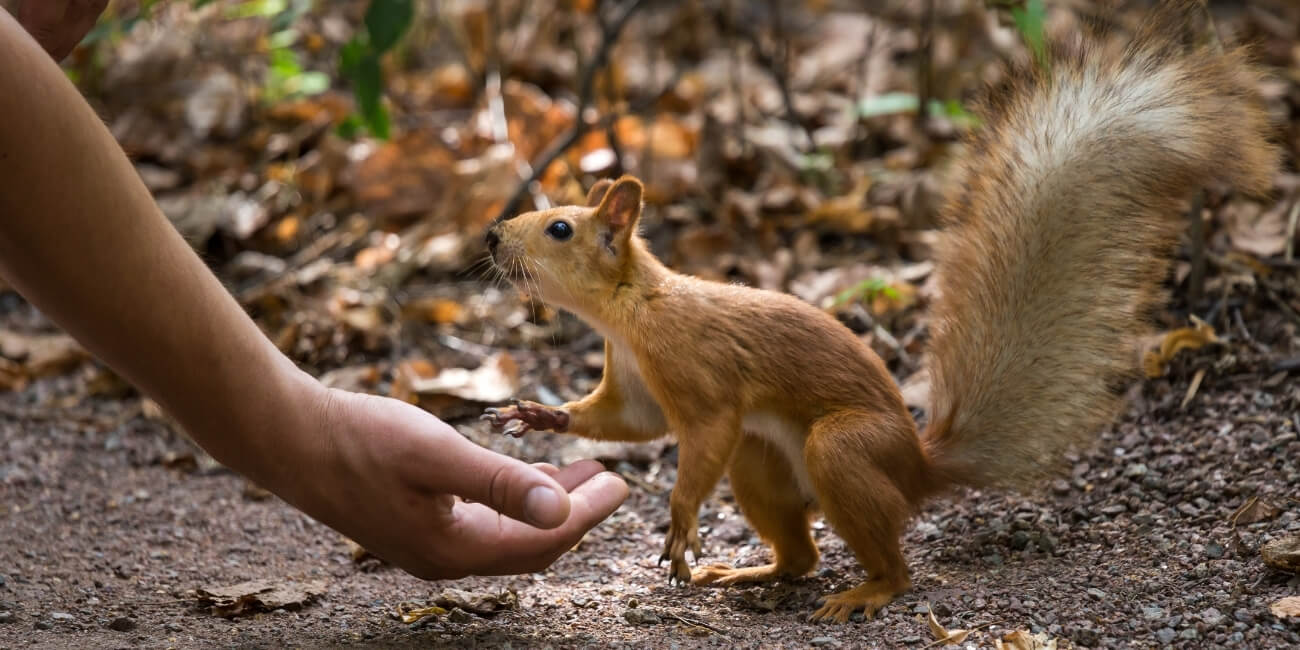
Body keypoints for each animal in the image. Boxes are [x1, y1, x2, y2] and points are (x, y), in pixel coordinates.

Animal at [483, 5, 1274, 624]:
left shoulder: (699, 374)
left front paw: (679, 521)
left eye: (560, 228)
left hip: (840, 449)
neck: (631, 313)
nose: (491, 236)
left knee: (888, 562)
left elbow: (700, 434)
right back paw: (754, 571)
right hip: (762, 464)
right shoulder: (634, 382)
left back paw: (867, 591)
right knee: (801, 554)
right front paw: (538, 415)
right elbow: (627, 423)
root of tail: (916, 466)